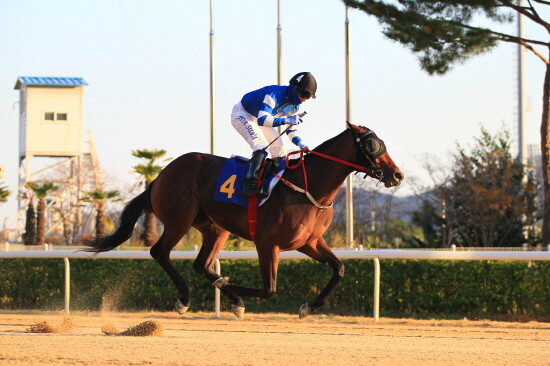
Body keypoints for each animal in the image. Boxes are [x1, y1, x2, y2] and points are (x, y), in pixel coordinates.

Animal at [86, 122, 406, 318]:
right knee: (159, 252)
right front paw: (232, 290)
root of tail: (162, 173)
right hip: (179, 220)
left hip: (215, 228)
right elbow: (269, 289)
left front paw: (308, 307)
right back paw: (185, 299)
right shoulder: (267, 243)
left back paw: (228, 298)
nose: (397, 174)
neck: (308, 186)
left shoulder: (309, 242)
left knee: (201, 264)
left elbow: (339, 268)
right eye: (372, 145)